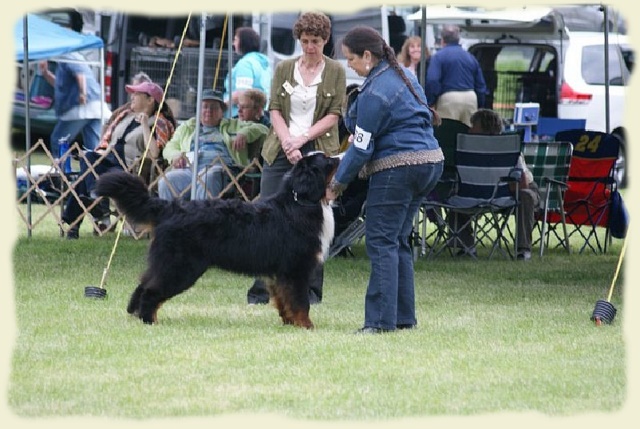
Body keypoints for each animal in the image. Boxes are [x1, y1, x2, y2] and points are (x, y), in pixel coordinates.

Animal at [95, 153, 340, 328]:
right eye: (327, 160)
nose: (339, 157)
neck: (300, 202)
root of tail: (170, 208)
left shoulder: (280, 273)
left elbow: (285, 300)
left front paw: (289, 323)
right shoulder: (296, 269)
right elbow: (300, 302)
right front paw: (306, 325)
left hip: (168, 264)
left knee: (143, 284)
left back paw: (135, 314)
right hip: (180, 267)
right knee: (151, 290)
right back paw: (149, 320)